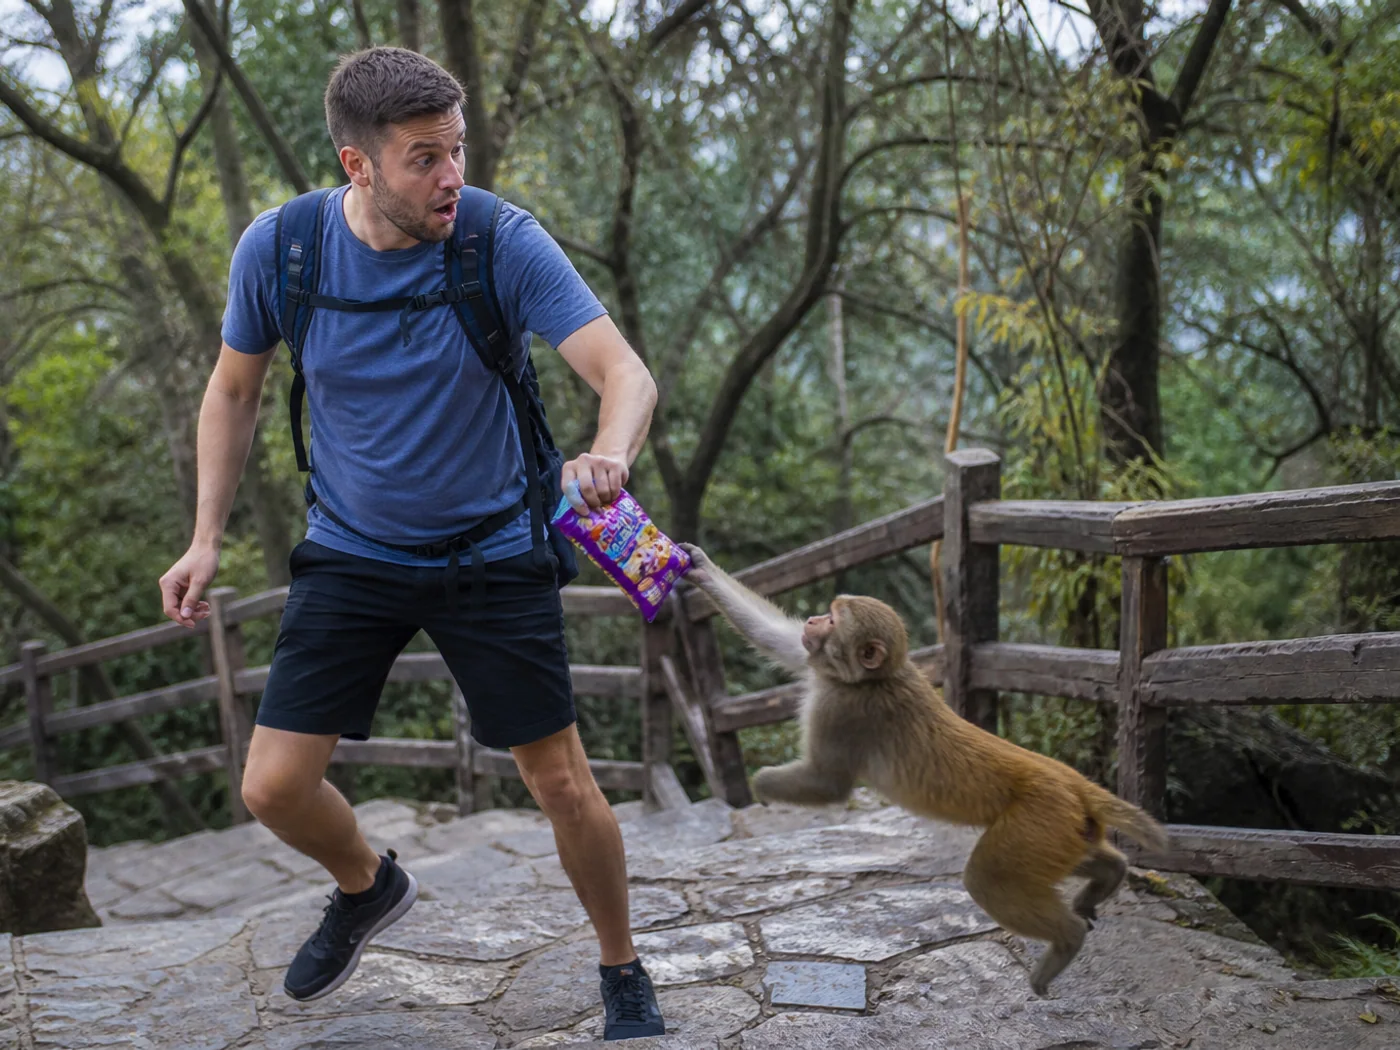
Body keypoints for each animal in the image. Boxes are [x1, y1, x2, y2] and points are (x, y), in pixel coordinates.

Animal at [679, 544, 1169, 996]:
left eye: (834, 620)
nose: (814, 621)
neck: (868, 678)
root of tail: (1075, 782)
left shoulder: (843, 710)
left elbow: (829, 784)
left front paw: (761, 786)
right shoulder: (822, 669)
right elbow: (775, 637)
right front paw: (698, 566)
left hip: (1036, 822)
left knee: (988, 878)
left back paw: (1066, 940)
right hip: (1062, 829)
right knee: (1069, 858)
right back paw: (1110, 874)